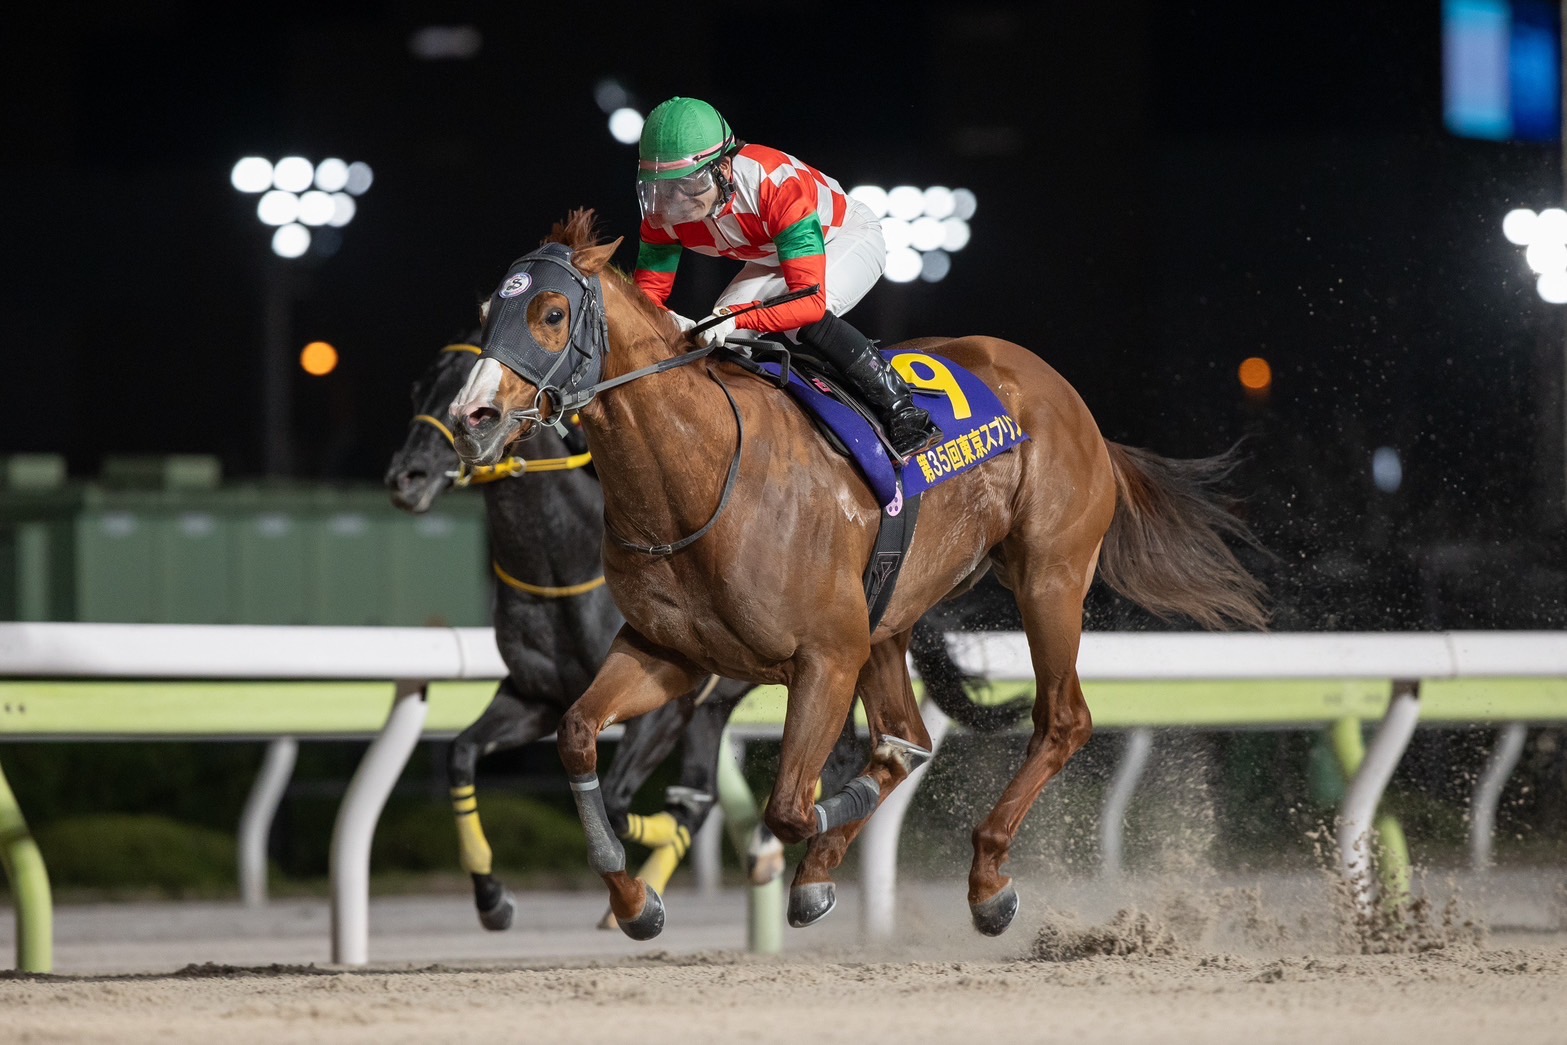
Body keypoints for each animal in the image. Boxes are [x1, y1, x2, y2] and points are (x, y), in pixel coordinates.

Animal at [385, 333, 1009, 921]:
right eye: (418, 389)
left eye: (461, 394)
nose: (404, 478)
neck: (561, 565)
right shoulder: (535, 696)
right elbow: (463, 754)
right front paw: (492, 897)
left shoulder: (668, 708)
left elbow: (619, 802)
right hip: (724, 704)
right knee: (719, 785)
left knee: (821, 765)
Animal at [448, 208, 1266, 946]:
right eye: (488, 312)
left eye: (552, 312)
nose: (472, 415)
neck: (699, 476)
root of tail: (1067, 398)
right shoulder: (668, 653)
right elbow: (578, 735)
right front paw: (634, 901)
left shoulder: (823, 658)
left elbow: (787, 807)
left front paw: (789, 856)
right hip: (889, 615)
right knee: (908, 734)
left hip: (1049, 576)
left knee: (1059, 720)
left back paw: (988, 880)